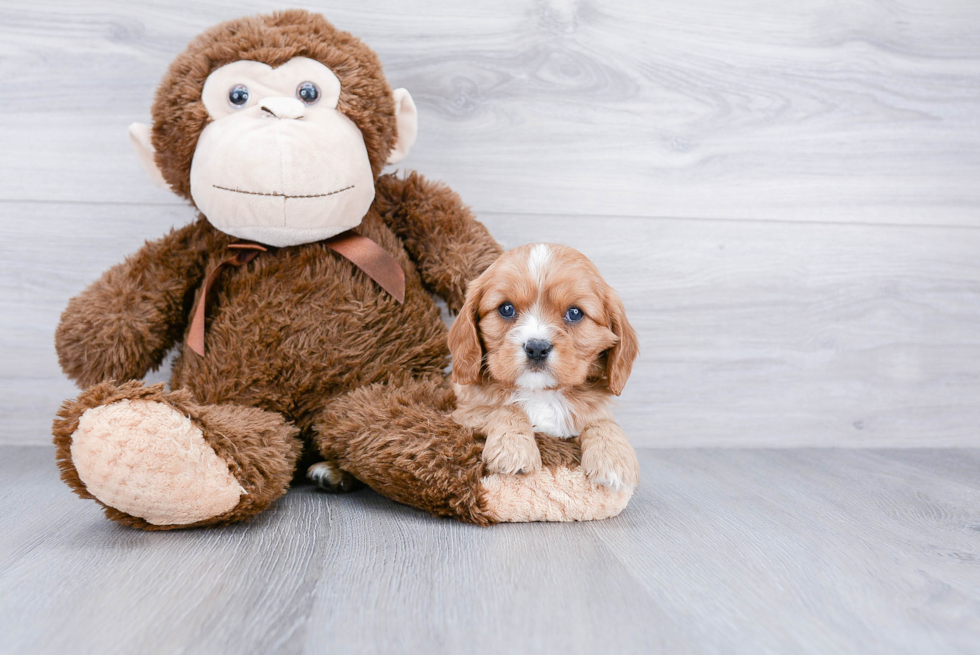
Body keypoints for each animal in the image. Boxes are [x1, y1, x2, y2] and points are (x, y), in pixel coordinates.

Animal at [446, 243, 644, 490]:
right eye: (506, 309)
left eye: (575, 313)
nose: (537, 348)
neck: (541, 394)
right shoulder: (464, 413)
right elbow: (507, 408)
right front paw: (514, 447)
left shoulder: (592, 412)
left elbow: (602, 422)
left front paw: (613, 458)